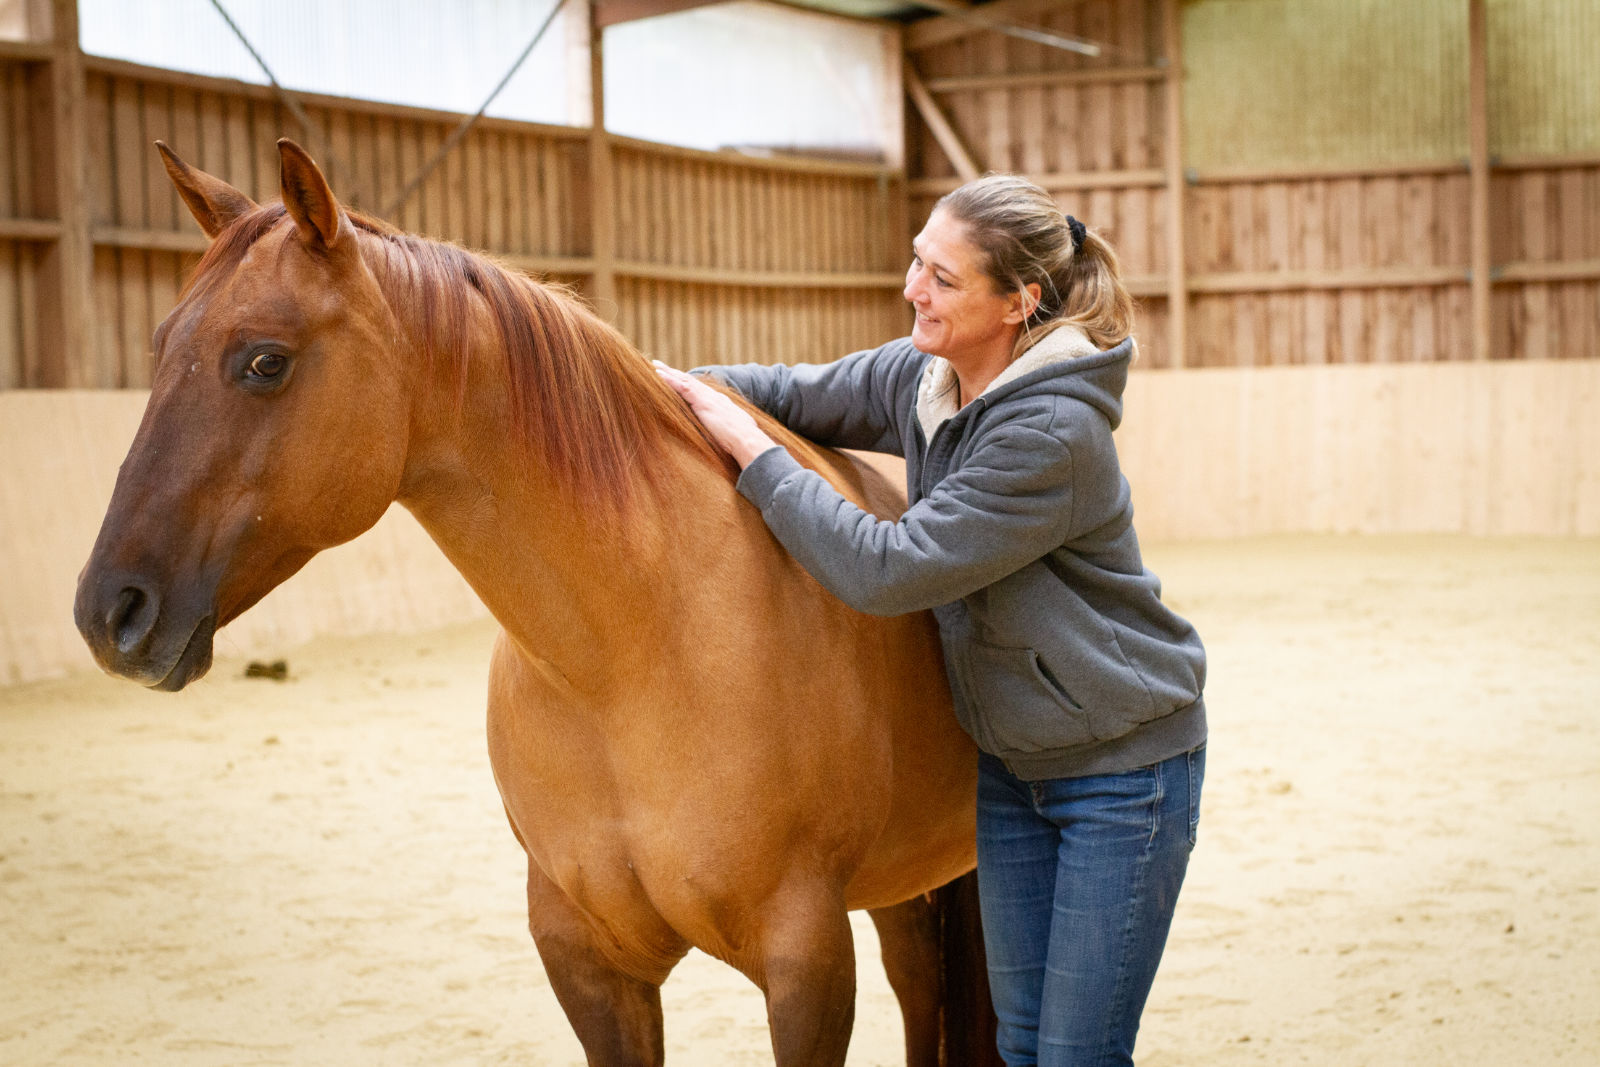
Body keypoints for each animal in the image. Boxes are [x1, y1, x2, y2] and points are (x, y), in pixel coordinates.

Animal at [74, 139, 999, 1066]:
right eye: (161, 344)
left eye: (265, 360)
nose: (108, 611)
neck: (630, 653)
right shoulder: (586, 961)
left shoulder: (806, 962)